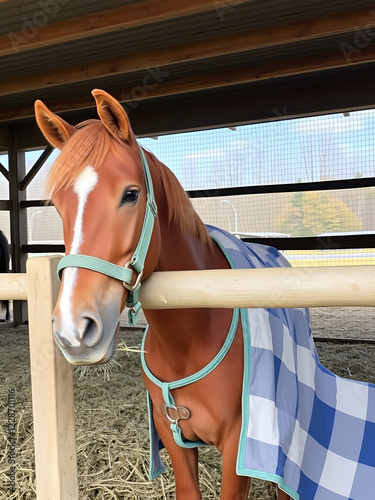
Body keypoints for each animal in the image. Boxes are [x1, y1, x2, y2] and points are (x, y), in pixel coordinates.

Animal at [34, 91, 375, 500]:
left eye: (131, 194)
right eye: (58, 204)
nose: (73, 330)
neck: (190, 338)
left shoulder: (237, 444)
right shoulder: (173, 436)